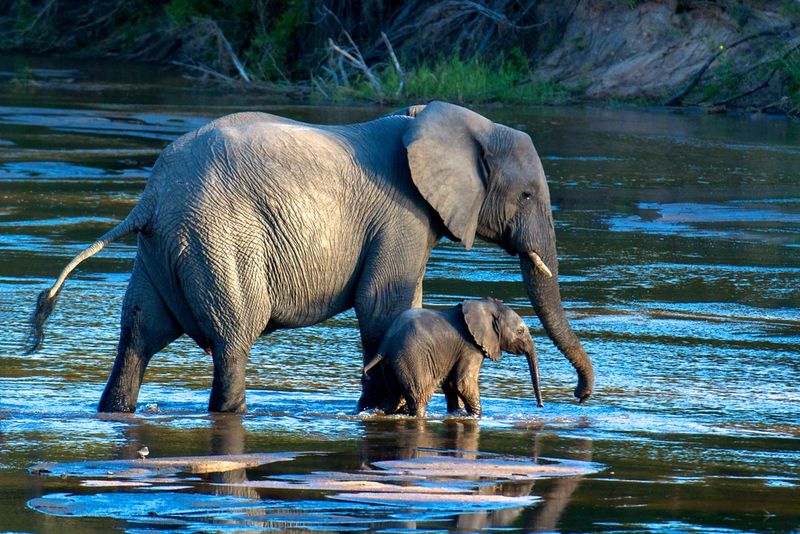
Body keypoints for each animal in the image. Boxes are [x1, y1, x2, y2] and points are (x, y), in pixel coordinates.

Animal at [362, 298, 543, 417]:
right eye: (520, 331)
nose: (540, 406)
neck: (484, 305)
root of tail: (386, 342)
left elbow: (450, 384)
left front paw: (457, 413)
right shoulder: (470, 347)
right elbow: (462, 383)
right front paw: (476, 416)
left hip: (391, 363)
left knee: (394, 396)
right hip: (412, 357)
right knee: (418, 397)